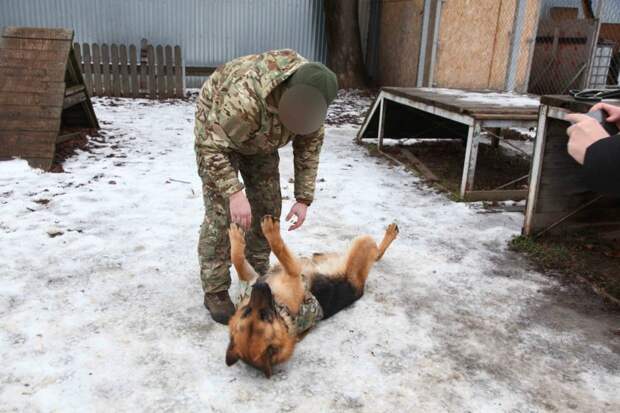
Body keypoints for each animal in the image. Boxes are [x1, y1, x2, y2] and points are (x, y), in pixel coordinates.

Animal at [225, 216, 400, 376]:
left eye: (246, 311)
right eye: (264, 316)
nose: (261, 286)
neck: (282, 312)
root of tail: (360, 289)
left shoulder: (252, 278)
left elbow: (238, 259)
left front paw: (236, 236)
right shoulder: (293, 272)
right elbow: (278, 248)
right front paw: (270, 230)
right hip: (363, 244)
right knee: (377, 254)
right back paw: (391, 233)